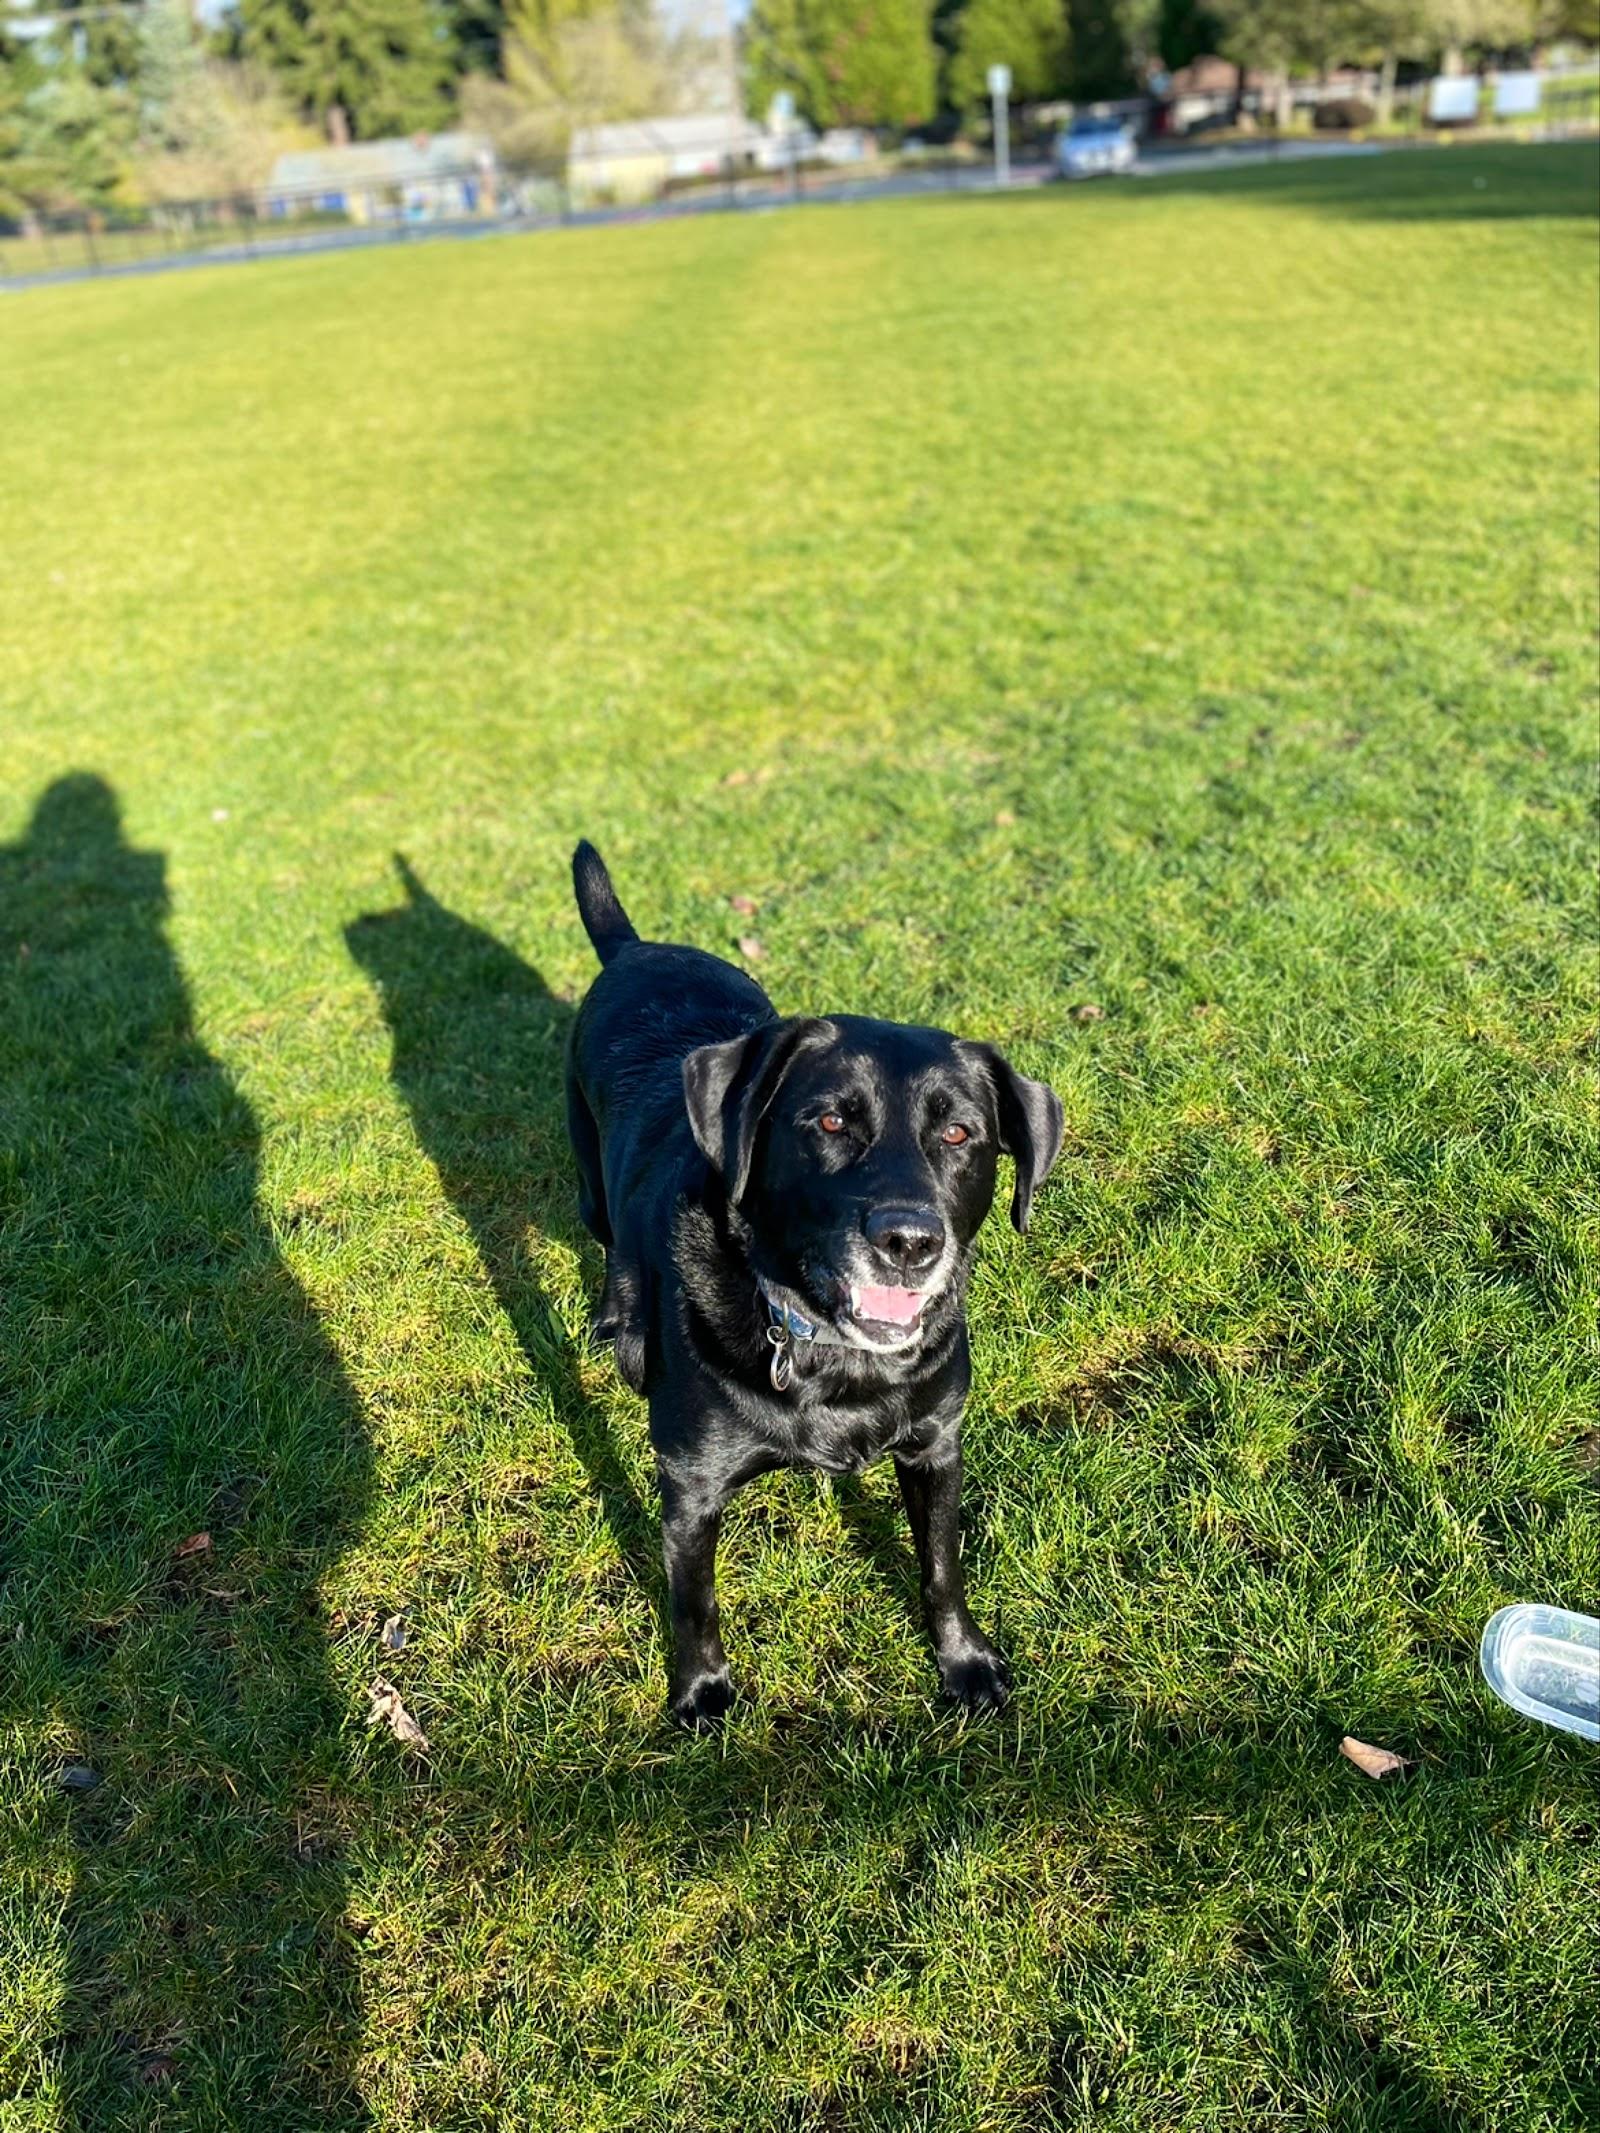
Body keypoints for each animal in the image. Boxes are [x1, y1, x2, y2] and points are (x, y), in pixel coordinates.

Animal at [563, 840, 1066, 1723]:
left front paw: (964, 1662)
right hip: (591, 1181)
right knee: (614, 1244)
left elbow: (943, 1567)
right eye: (831, 1120)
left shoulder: (936, 1444)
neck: (832, 1357)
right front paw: (701, 1691)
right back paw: (620, 1325)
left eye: (960, 1132)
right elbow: (693, 1598)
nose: (909, 1240)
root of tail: (635, 948)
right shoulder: (690, 1482)